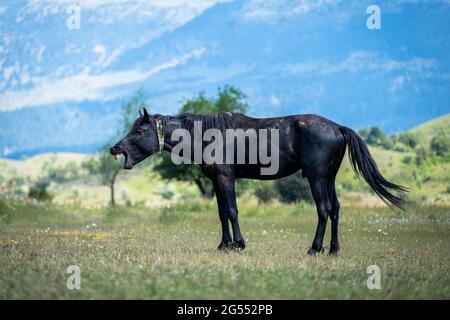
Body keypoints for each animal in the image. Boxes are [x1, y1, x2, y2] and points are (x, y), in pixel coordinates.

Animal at [110, 109, 406, 256]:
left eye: (140, 129)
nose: (115, 148)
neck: (207, 135)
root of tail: (338, 128)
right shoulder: (217, 181)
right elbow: (221, 213)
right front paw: (224, 245)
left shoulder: (226, 179)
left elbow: (231, 211)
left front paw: (238, 244)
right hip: (329, 179)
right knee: (334, 209)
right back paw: (333, 250)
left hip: (316, 178)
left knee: (323, 210)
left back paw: (314, 249)